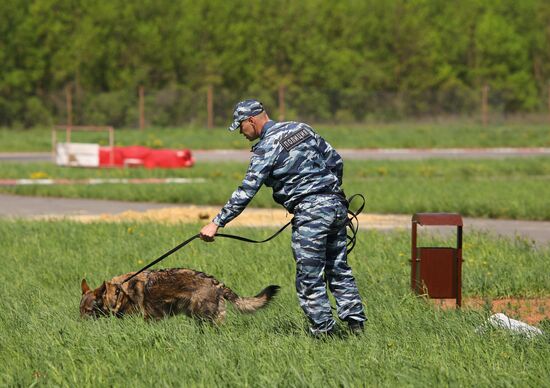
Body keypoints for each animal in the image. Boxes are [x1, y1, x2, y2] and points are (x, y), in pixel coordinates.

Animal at [82, 268, 280, 322]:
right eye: (80, 310)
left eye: (88, 311)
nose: (79, 324)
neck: (118, 292)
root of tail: (217, 283)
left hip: (203, 316)